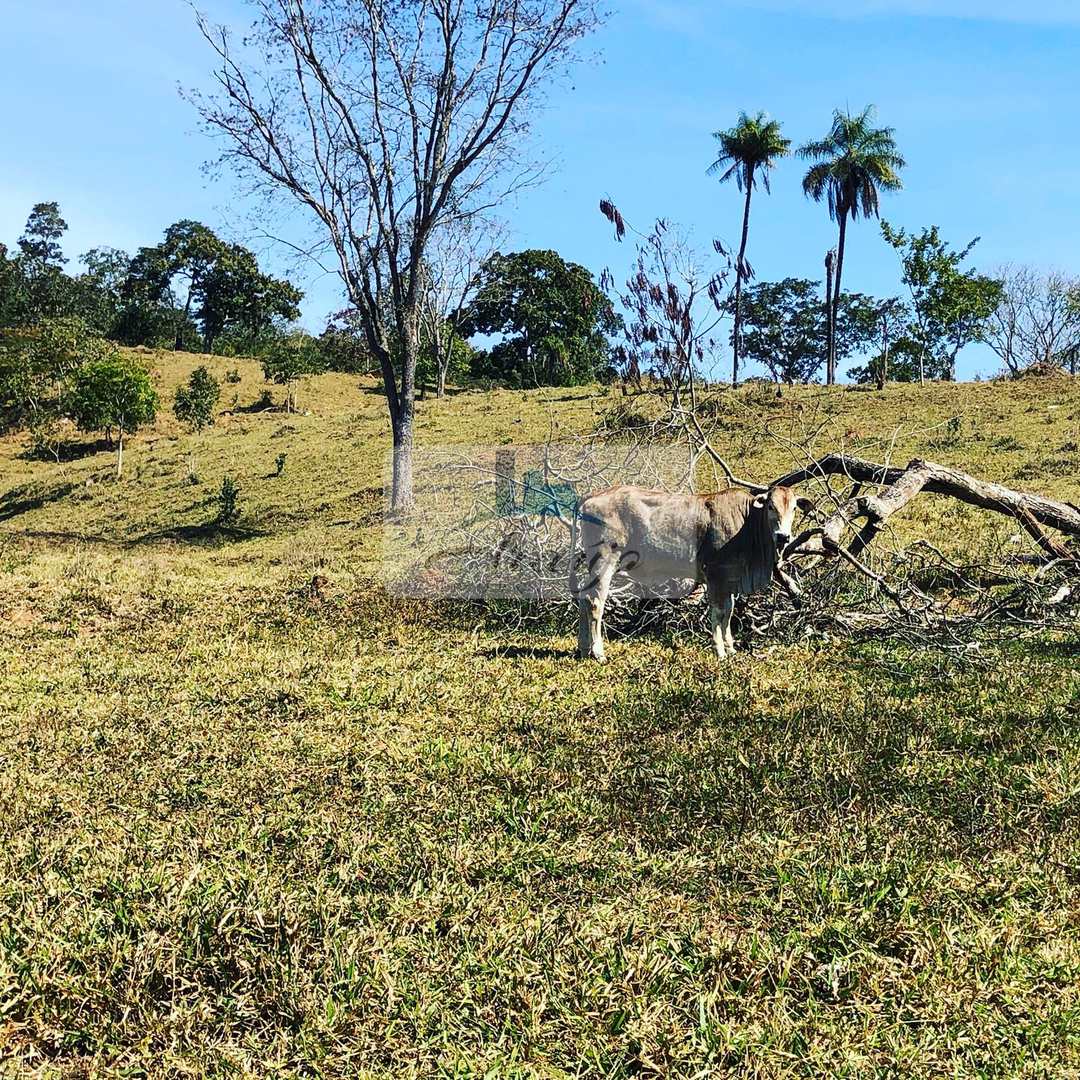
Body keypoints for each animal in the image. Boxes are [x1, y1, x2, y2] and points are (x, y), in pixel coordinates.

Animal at [570, 488, 812, 656]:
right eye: (771, 506)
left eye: (793, 508)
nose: (783, 536)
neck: (747, 522)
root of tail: (590, 497)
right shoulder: (715, 575)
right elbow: (718, 612)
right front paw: (719, 650)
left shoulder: (731, 580)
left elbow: (729, 612)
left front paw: (730, 647)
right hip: (605, 561)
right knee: (595, 602)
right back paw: (598, 652)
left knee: (584, 598)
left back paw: (584, 649)